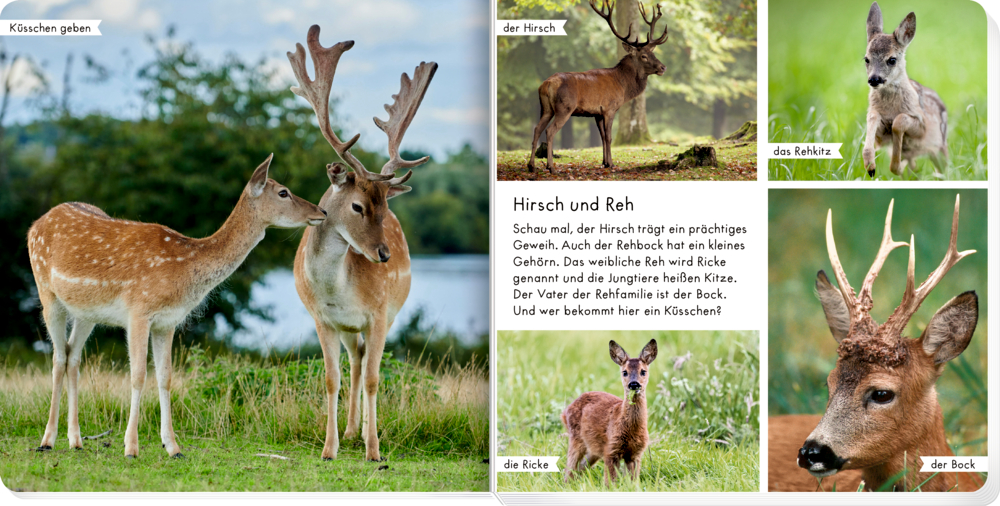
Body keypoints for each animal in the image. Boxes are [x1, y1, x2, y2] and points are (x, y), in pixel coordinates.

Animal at [25, 155, 327, 458]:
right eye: (283, 192)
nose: (322, 211)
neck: (183, 268)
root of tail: (34, 225)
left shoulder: (167, 321)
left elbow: (165, 377)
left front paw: (173, 446)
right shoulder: (138, 311)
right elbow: (138, 375)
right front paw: (131, 447)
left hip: (86, 312)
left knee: (73, 355)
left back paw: (76, 440)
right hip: (46, 292)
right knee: (58, 357)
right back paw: (47, 441)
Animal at [286, 25, 436, 462]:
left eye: (385, 206)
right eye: (357, 205)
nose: (384, 254)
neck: (338, 289)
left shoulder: (380, 314)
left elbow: (373, 378)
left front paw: (374, 450)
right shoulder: (322, 319)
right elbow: (331, 378)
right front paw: (329, 448)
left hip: (385, 315)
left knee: (364, 364)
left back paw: (365, 433)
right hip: (348, 329)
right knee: (354, 361)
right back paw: (351, 430)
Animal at [527, 0, 667, 174]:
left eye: (654, 53)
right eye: (644, 56)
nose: (663, 67)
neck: (623, 87)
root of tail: (546, 85)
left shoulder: (597, 113)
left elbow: (601, 136)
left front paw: (604, 162)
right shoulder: (610, 108)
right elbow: (608, 136)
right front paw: (612, 164)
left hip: (546, 108)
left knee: (537, 129)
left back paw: (531, 165)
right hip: (564, 107)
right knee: (550, 130)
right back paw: (551, 166)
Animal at [562, 339, 657, 485]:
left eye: (643, 371)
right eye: (624, 372)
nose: (634, 384)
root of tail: (565, 411)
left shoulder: (635, 453)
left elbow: (633, 482)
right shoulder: (611, 449)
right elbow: (610, 482)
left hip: (593, 448)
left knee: (580, 467)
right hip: (575, 438)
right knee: (569, 469)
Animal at [861, 2, 948, 178]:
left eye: (892, 60)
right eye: (866, 59)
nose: (874, 79)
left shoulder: (922, 125)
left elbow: (899, 121)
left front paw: (896, 166)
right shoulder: (880, 134)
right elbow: (872, 117)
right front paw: (871, 168)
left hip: (941, 145)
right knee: (914, 165)